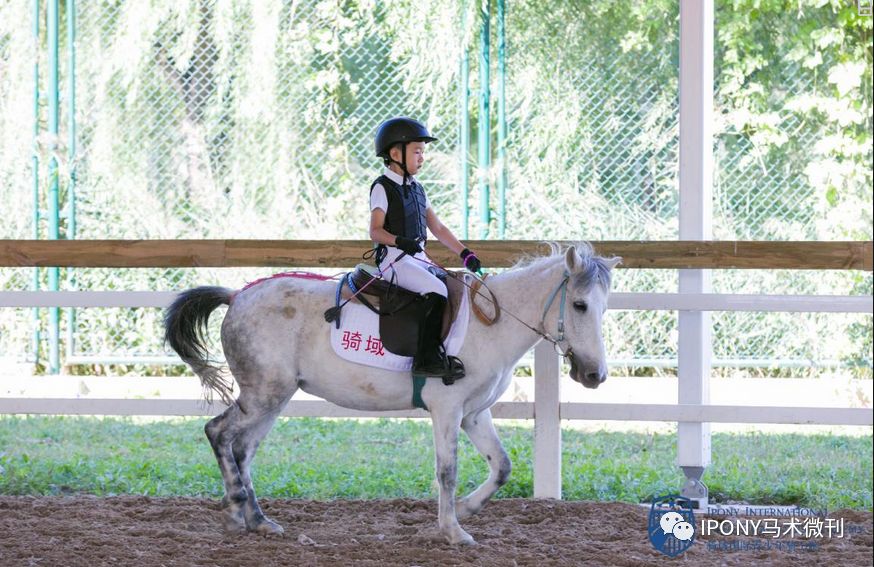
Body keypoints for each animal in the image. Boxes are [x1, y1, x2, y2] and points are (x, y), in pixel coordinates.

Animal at [162, 241, 612, 544]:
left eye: (603, 308)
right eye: (579, 306)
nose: (595, 375)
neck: (493, 324)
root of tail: (237, 296)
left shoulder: (473, 413)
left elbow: (501, 466)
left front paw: (466, 509)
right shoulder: (447, 409)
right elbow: (447, 471)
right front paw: (452, 530)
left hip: (273, 398)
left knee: (242, 449)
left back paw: (257, 520)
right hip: (263, 395)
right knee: (219, 433)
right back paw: (235, 507)